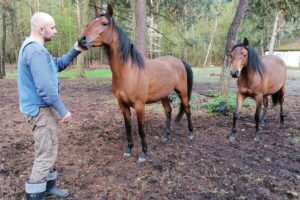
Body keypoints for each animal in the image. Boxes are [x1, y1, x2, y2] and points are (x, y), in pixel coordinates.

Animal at [78, 5, 193, 162]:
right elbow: (128, 127)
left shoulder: (139, 106)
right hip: (163, 95)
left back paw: (191, 133)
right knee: (168, 111)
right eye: (91, 22)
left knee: (187, 109)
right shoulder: (123, 105)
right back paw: (165, 136)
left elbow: (140, 129)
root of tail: (180, 61)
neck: (129, 71)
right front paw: (129, 149)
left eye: (104, 23)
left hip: (182, 92)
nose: (81, 40)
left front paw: (143, 153)